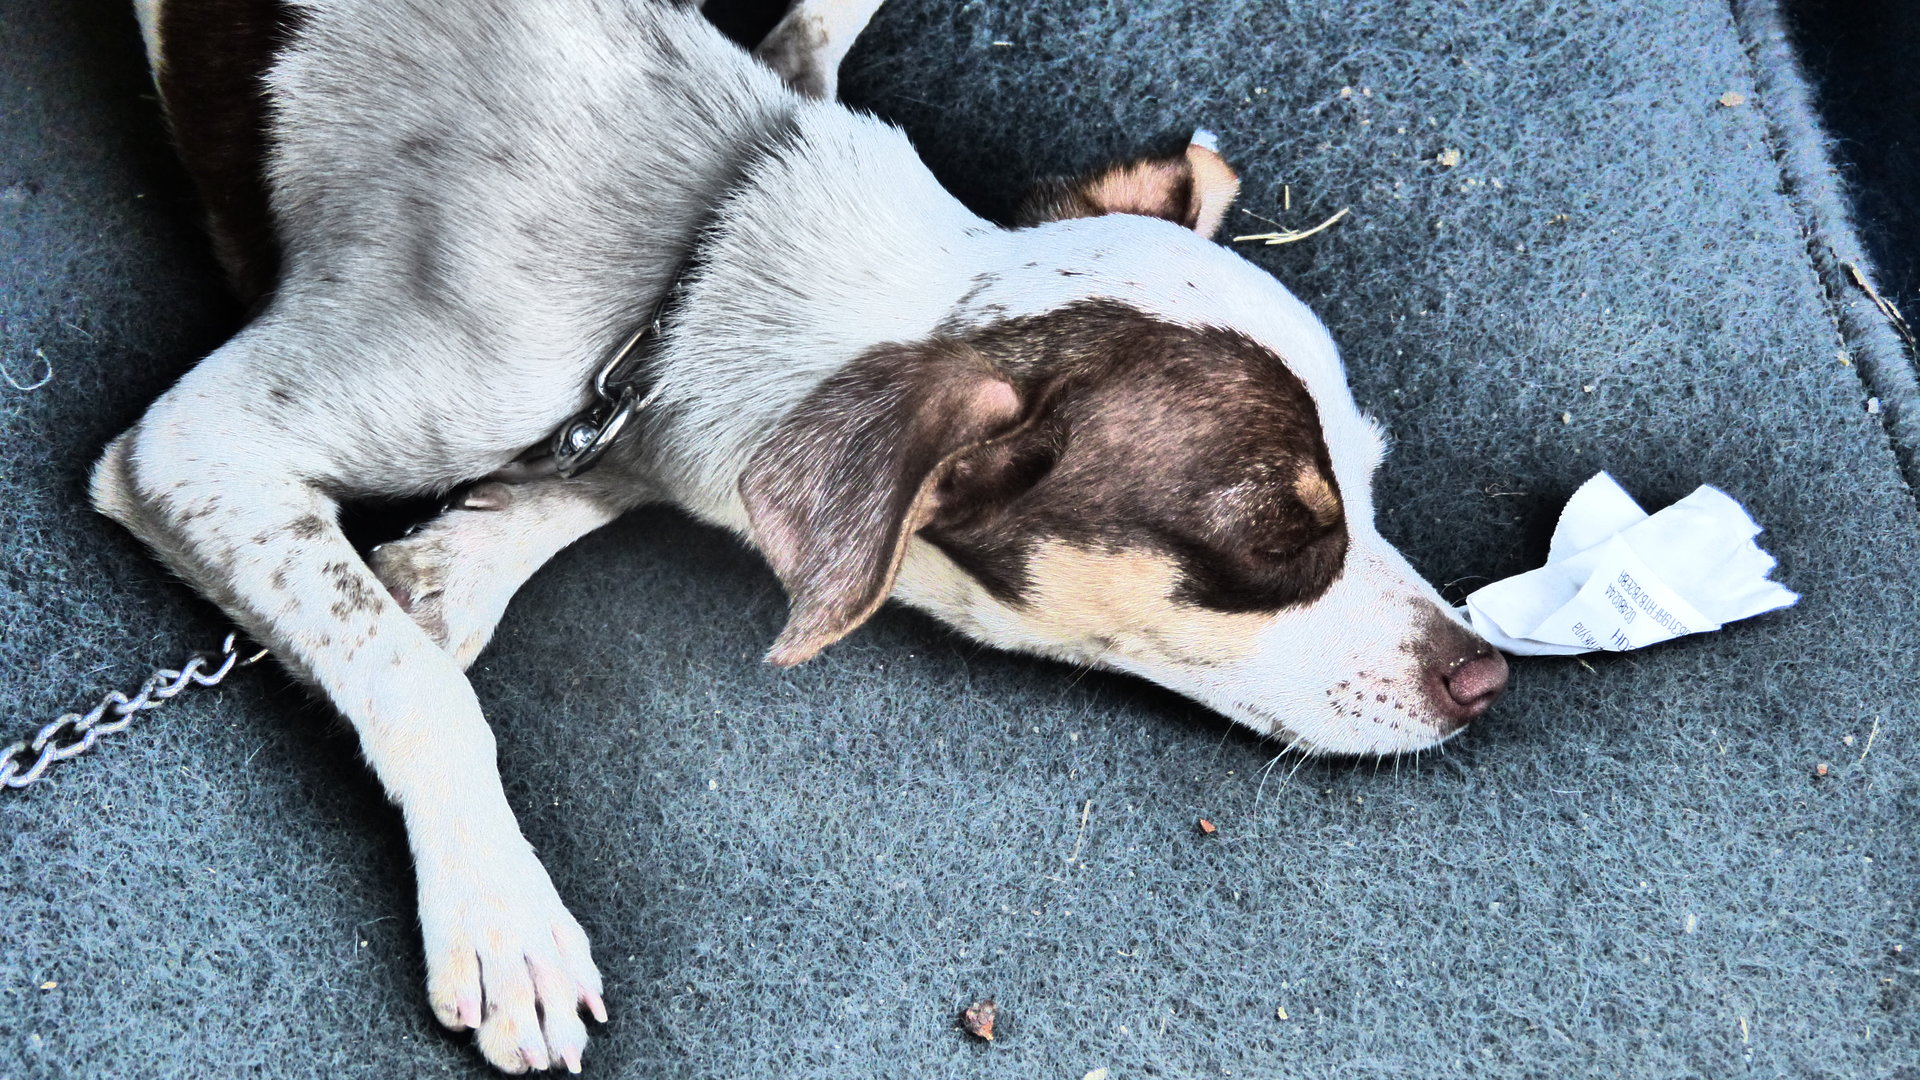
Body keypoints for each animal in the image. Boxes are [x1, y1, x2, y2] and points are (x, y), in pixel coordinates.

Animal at [93, 0, 1509, 1070]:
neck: (697, 249)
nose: (1487, 676)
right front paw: (500, 913)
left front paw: (464, 557)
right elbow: (415, 679)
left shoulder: (642, 409)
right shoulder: (193, 444)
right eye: (1275, 540)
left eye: (1370, 486)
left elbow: (597, 491)